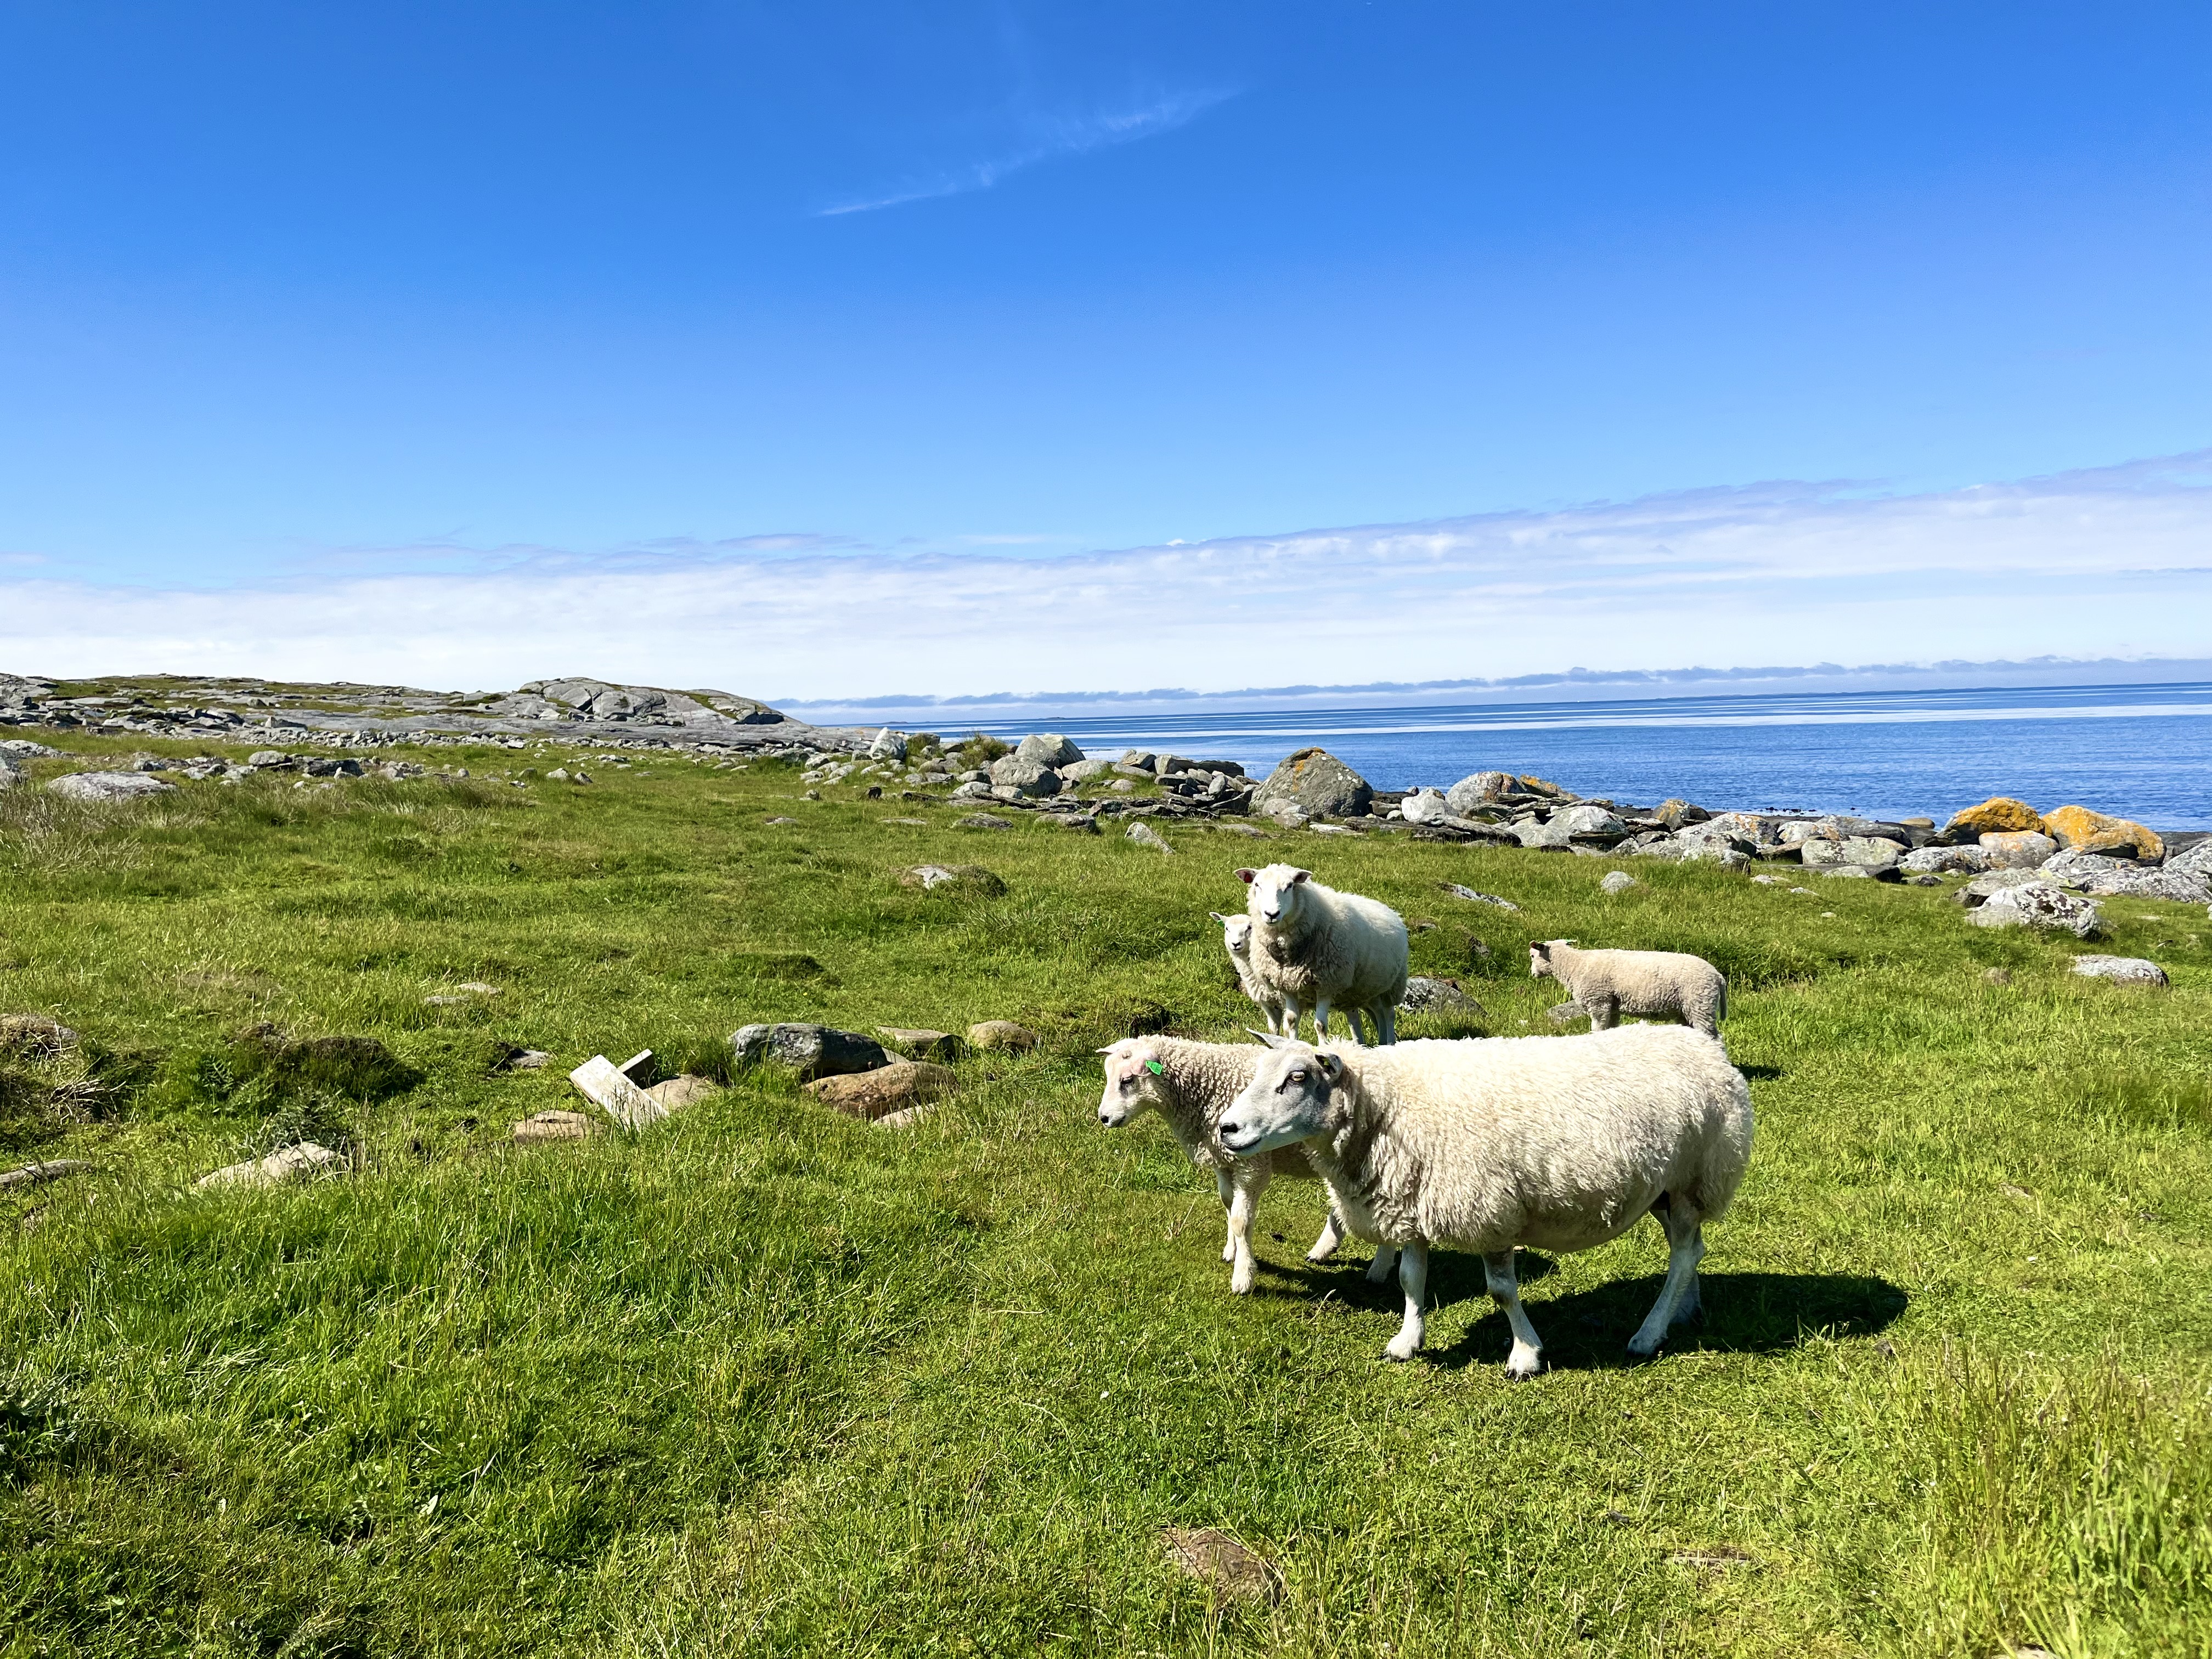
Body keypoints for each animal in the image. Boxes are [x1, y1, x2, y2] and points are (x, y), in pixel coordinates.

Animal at [1092, 1040, 1336, 1300]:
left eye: (1127, 1080)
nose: (1104, 1118)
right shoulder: (1224, 1161)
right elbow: (1228, 1204)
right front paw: (1232, 1251)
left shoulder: (1252, 1165)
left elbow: (1241, 1220)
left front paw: (1243, 1276)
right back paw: (1323, 1250)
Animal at [1221, 1026, 1752, 1380]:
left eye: (1297, 1077)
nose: (1227, 1128)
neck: (1388, 1106)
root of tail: (1710, 1049)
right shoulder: (1416, 1203)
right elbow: (1411, 1280)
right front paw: (1406, 1342)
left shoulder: (1491, 1211)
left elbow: (1501, 1291)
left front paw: (1525, 1355)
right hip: (1666, 1189)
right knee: (1690, 1252)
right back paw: (1682, 1312)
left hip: (1698, 1177)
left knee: (1684, 1254)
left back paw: (1649, 1333)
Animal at [1238, 862, 1407, 1044]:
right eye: (1257, 885)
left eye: (1290, 886)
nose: (1272, 914)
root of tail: (1392, 912)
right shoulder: (1287, 986)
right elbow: (1291, 1021)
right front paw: (1293, 1042)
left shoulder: (1326, 984)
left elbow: (1320, 1025)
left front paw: (1323, 1046)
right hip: (1366, 990)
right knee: (1376, 1013)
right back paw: (1379, 1043)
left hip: (1393, 985)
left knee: (1389, 1014)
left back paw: (1390, 1042)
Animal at [1522, 946, 1725, 1040]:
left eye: (1532, 956)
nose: (1532, 974)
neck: (1575, 965)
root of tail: (1718, 976)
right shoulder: (1612, 1005)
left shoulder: (1599, 1001)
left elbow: (1597, 1028)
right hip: (1686, 1010)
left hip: (1700, 1003)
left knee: (1712, 1036)